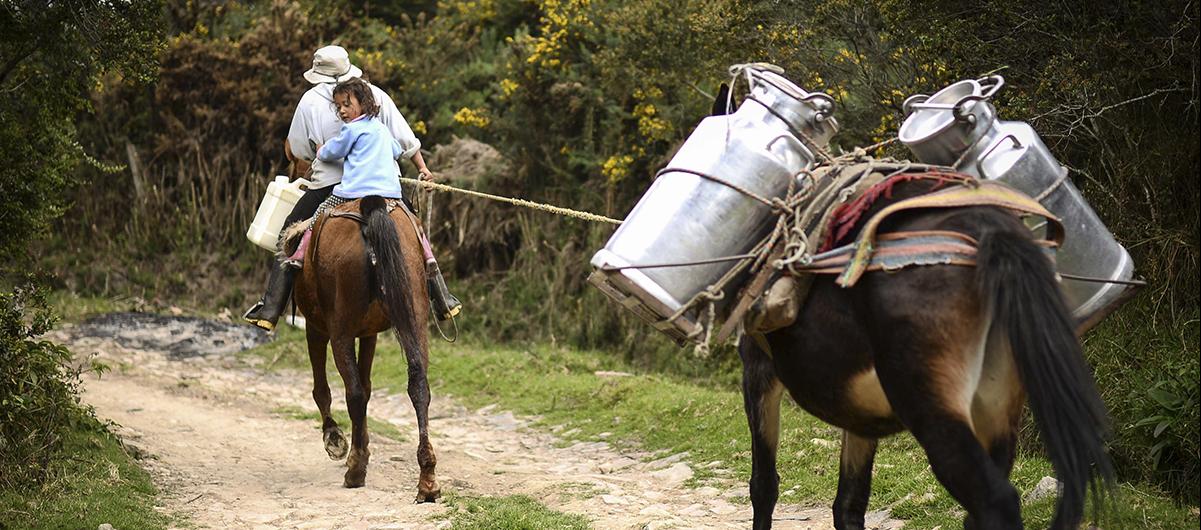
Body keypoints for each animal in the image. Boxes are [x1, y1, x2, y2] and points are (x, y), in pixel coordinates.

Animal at [290, 194, 441, 499]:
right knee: (419, 384)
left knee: (354, 393)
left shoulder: (316, 327)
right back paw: (427, 479)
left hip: (340, 332)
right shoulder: (370, 332)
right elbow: (369, 385)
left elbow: (324, 389)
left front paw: (335, 438)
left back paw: (355, 469)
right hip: (416, 319)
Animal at [739, 180, 1114, 526]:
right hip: (997, 407)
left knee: (995, 500)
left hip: (929, 404)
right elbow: (850, 501)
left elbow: (764, 485)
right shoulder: (859, 412)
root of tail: (989, 226)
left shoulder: (758, 370)